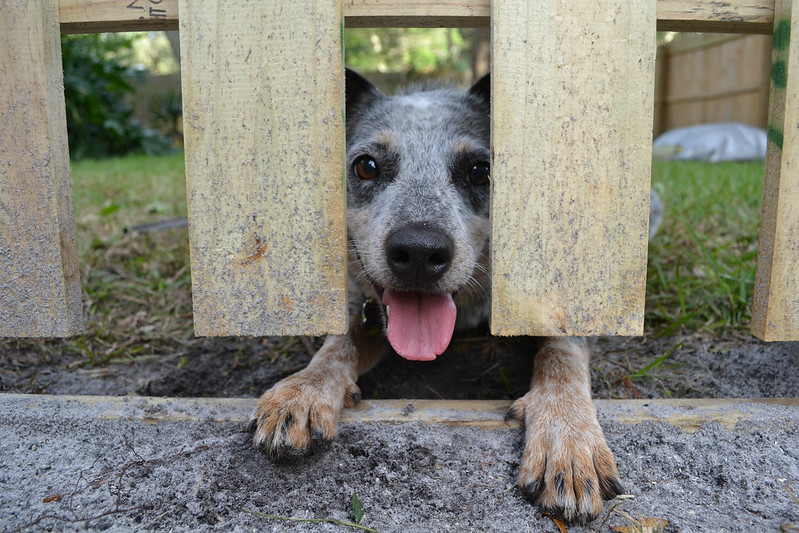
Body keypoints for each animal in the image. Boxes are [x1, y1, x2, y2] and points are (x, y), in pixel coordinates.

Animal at [248, 68, 664, 520]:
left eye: (481, 170)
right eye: (367, 166)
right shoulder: (366, 312)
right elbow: (338, 344)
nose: (418, 251)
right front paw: (303, 389)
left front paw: (568, 440)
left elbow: (561, 354)